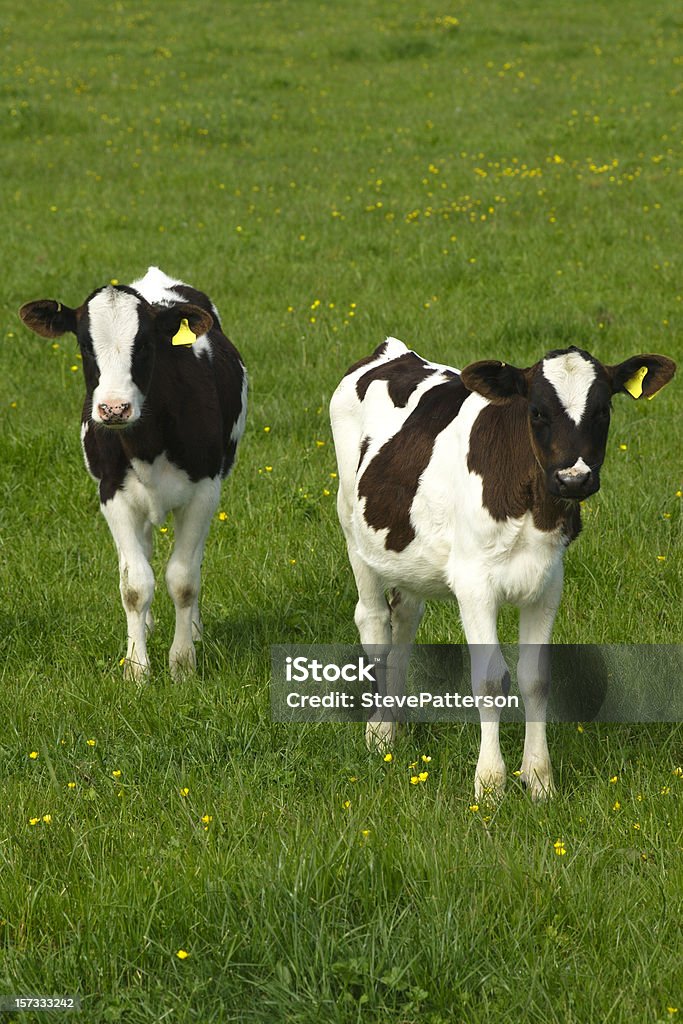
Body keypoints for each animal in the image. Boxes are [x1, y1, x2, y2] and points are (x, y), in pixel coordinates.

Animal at [19, 266, 250, 679]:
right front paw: (137, 667)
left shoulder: (204, 492)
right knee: (142, 554)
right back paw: (147, 626)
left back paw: (194, 629)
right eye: (85, 346)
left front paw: (183, 663)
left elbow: (183, 579)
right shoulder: (112, 494)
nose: (114, 408)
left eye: (143, 344)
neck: (147, 443)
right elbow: (135, 584)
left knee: (191, 562)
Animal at [329, 335, 671, 798]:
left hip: (406, 553)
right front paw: (490, 784)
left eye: (603, 410)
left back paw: (395, 723)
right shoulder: (474, 585)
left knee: (405, 617)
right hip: (354, 531)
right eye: (537, 411)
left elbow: (536, 678)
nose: (574, 479)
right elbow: (490, 680)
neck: (533, 504)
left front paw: (539, 780)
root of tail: (392, 350)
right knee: (374, 623)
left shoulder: (548, 582)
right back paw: (380, 731)